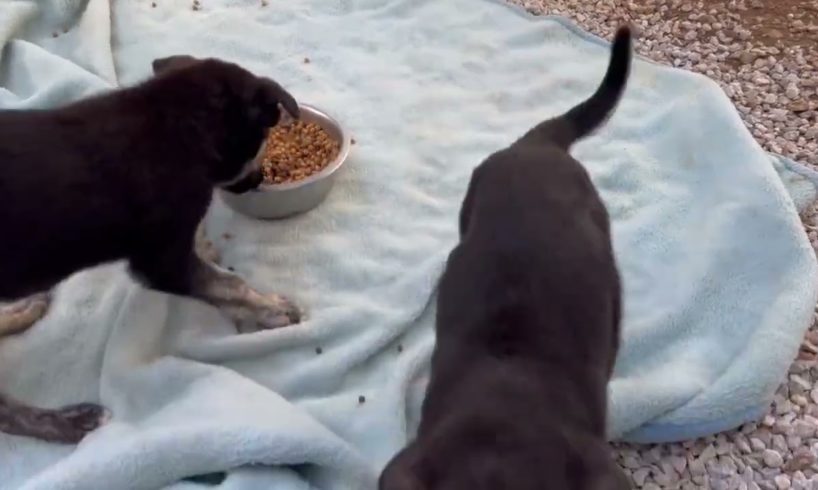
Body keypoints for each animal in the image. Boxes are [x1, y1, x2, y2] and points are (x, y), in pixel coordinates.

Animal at [0, 55, 302, 442]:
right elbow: (228, 284)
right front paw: (270, 309)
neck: (178, 122)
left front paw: (206, 248)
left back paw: (22, 311)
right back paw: (71, 423)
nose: (259, 179)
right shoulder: (162, 263)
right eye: (263, 139)